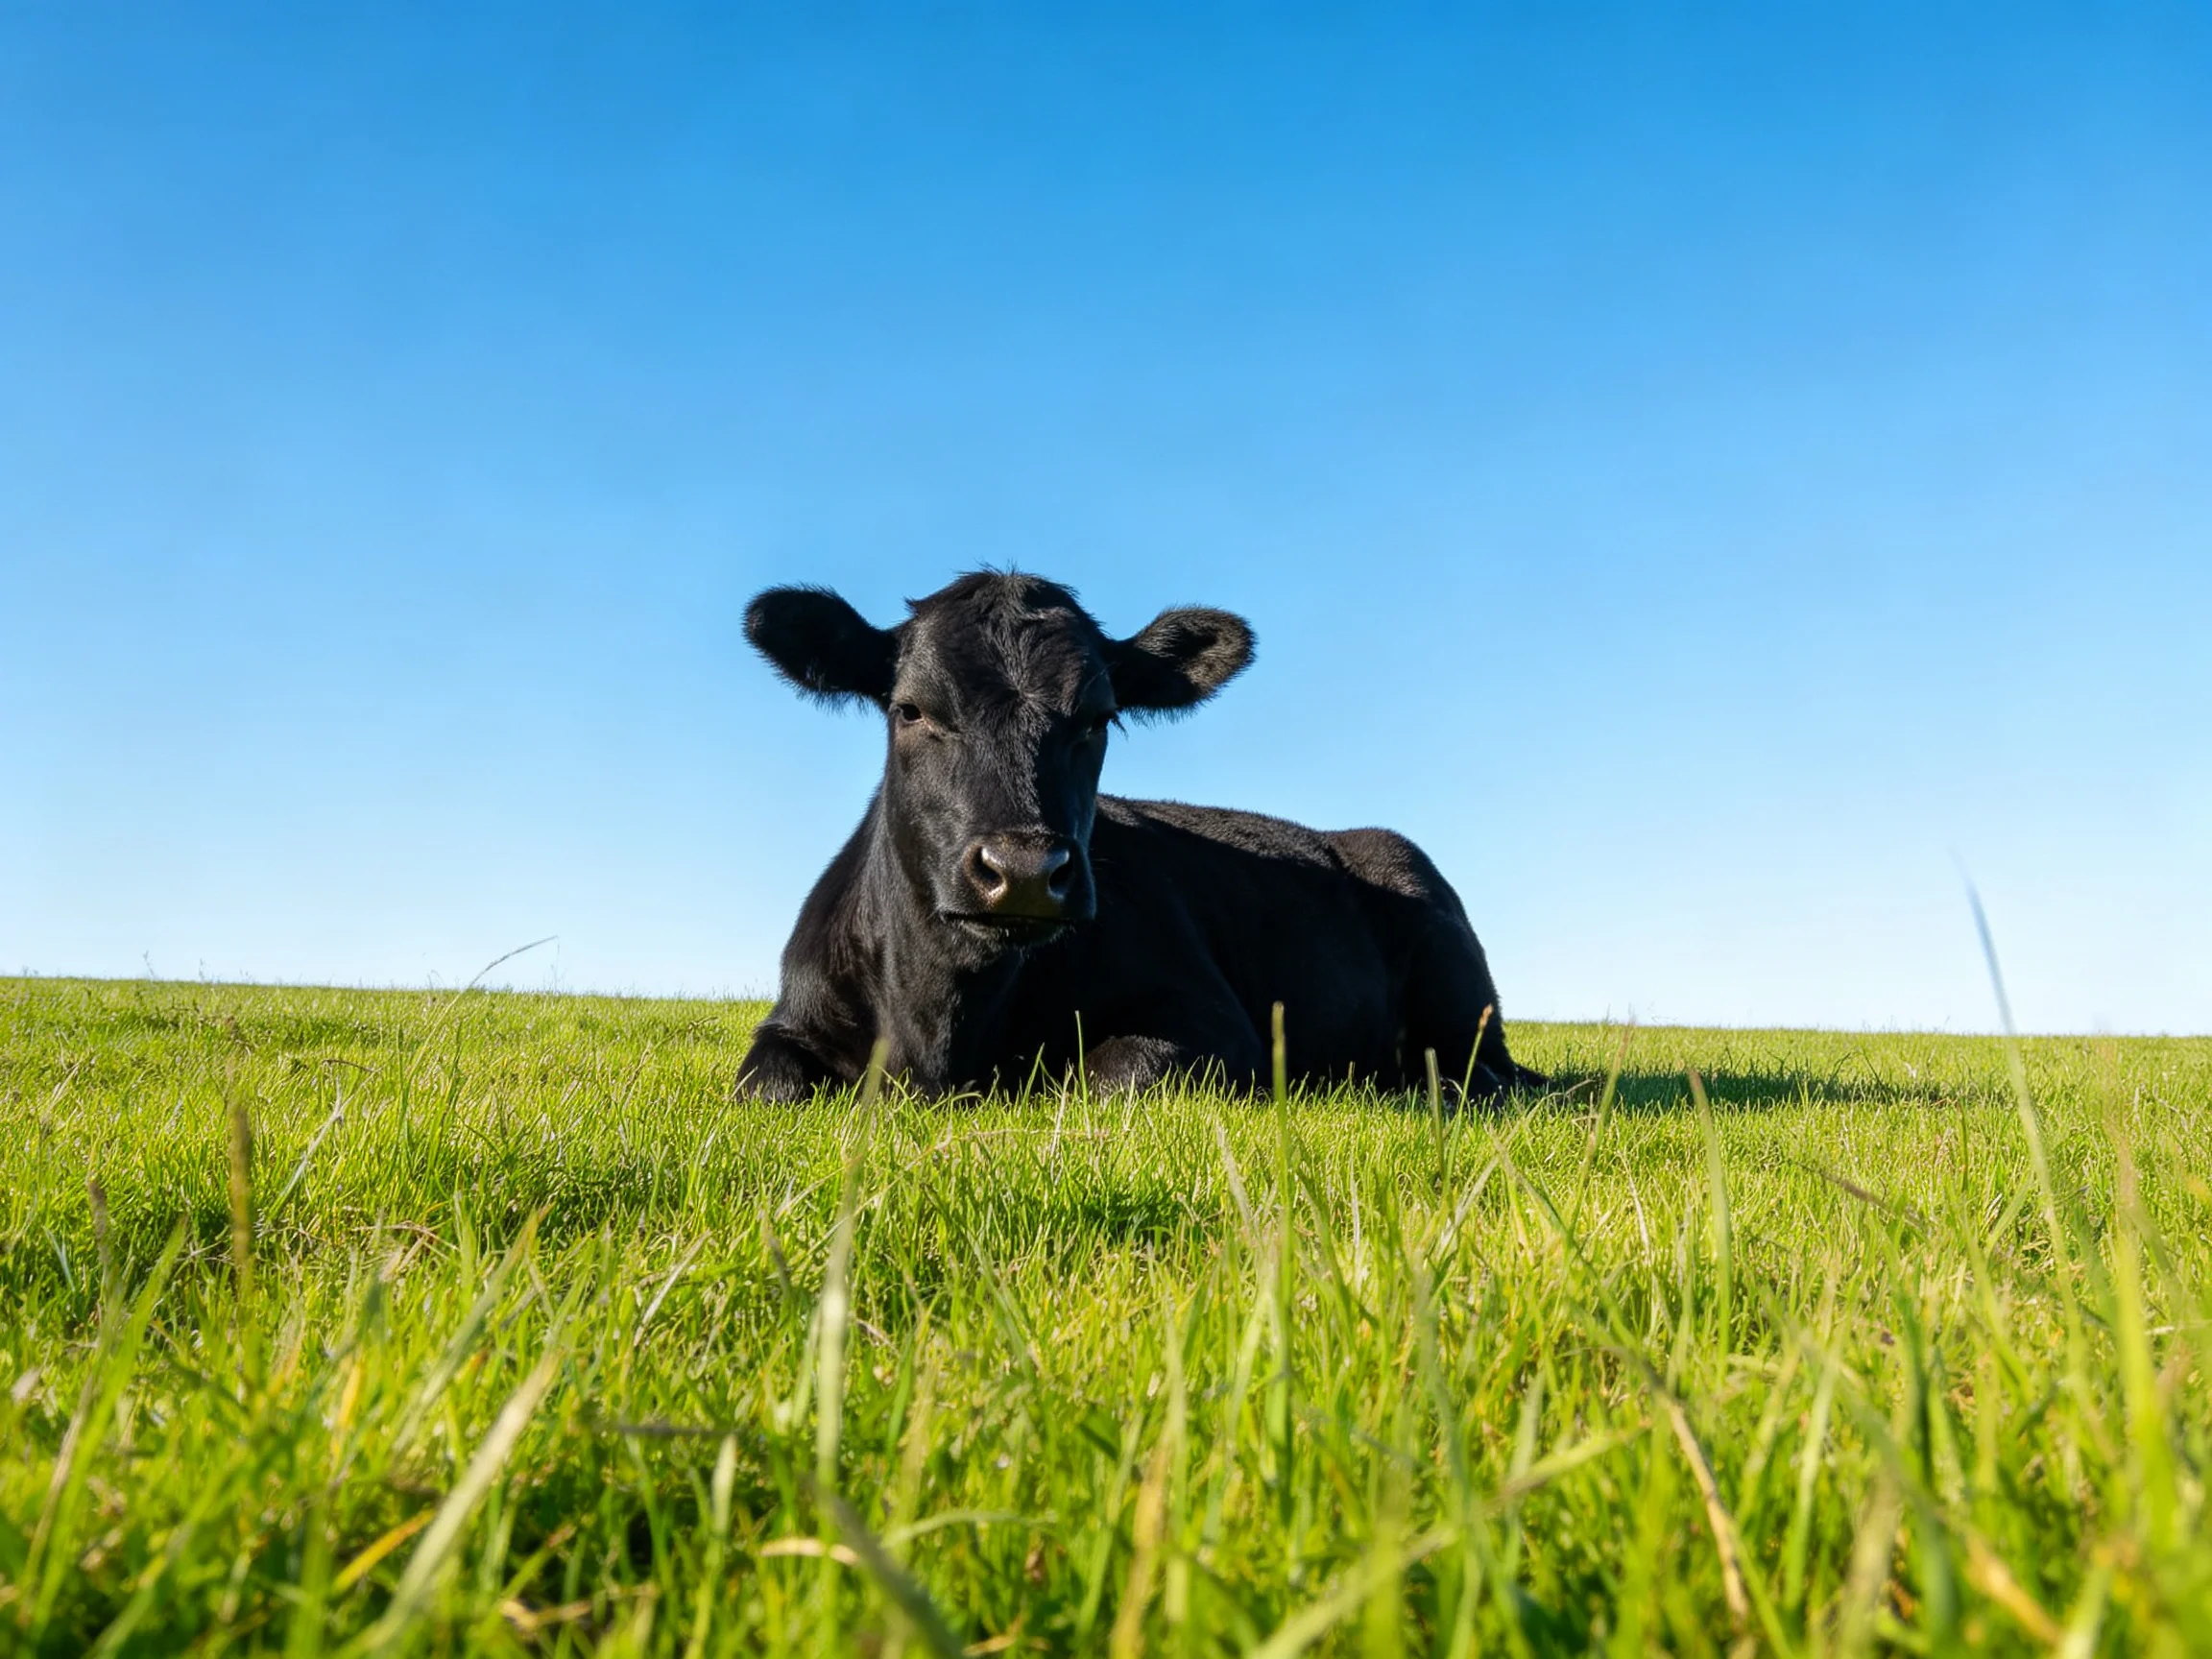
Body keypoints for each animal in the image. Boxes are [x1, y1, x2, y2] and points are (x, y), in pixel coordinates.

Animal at [734, 571, 1543, 1101]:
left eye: (1098, 718)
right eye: (911, 709)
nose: (1024, 869)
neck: (941, 1026)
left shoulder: (1216, 1024)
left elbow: (1111, 1073)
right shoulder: (792, 1018)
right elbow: (765, 1086)